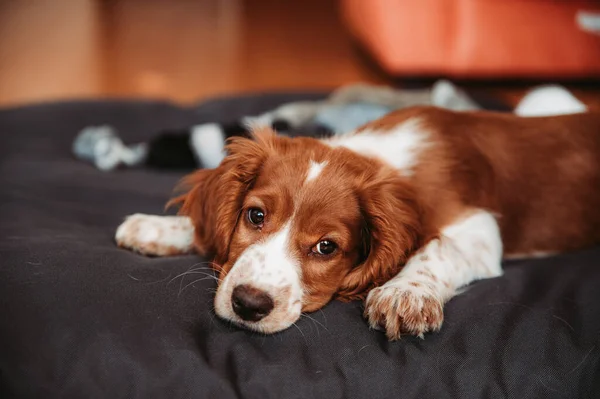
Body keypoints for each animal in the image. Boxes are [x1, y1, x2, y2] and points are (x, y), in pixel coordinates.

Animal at [116, 90, 600, 340]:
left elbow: (436, 248)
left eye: (326, 247)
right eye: (254, 216)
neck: (383, 159)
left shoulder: (478, 228)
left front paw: (405, 293)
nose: (248, 305)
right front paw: (161, 227)